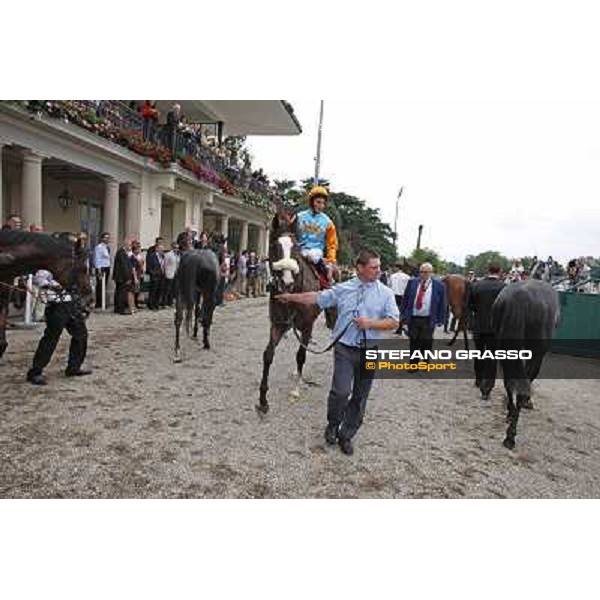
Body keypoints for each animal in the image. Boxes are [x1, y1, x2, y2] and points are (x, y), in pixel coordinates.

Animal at [255, 206, 326, 412]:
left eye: (296, 248)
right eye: (273, 247)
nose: (286, 282)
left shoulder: (308, 324)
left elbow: (301, 355)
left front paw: (295, 390)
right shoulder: (277, 324)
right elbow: (268, 354)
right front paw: (263, 398)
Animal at [492, 260, 556, 448]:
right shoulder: (537, 356)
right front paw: (528, 403)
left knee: (508, 382)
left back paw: (510, 414)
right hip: (533, 354)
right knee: (521, 389)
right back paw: (510, 436)